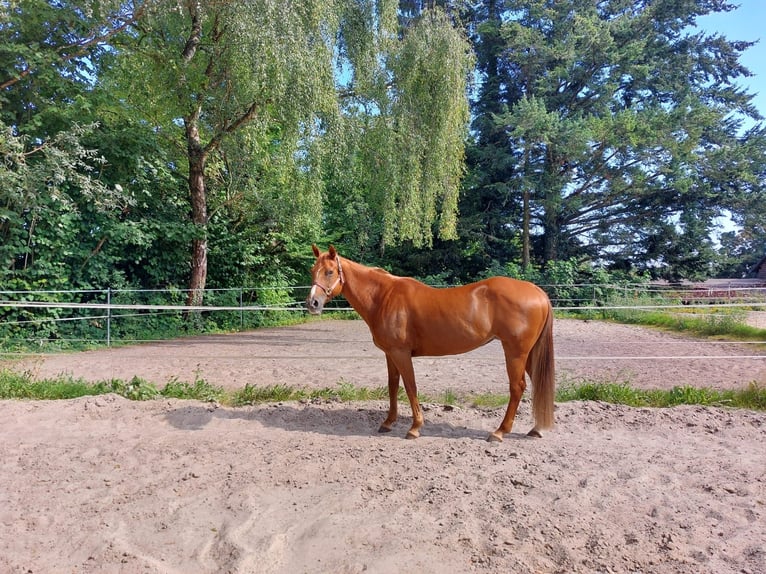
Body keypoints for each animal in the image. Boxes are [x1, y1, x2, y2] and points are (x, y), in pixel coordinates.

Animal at [307, 245, 555, 442]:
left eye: (329, 271)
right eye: (312, 271)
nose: (312, 303)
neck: (383, 297)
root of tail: (537, 291)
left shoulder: (401, 353)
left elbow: (410, 386)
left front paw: (415, 428)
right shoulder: (390, 354)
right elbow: (393, 386)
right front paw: (388, 423)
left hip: (515, 352)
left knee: (517, 387)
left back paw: (499, 432)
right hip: (529, 353)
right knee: (536, 382)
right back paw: (537, 429)